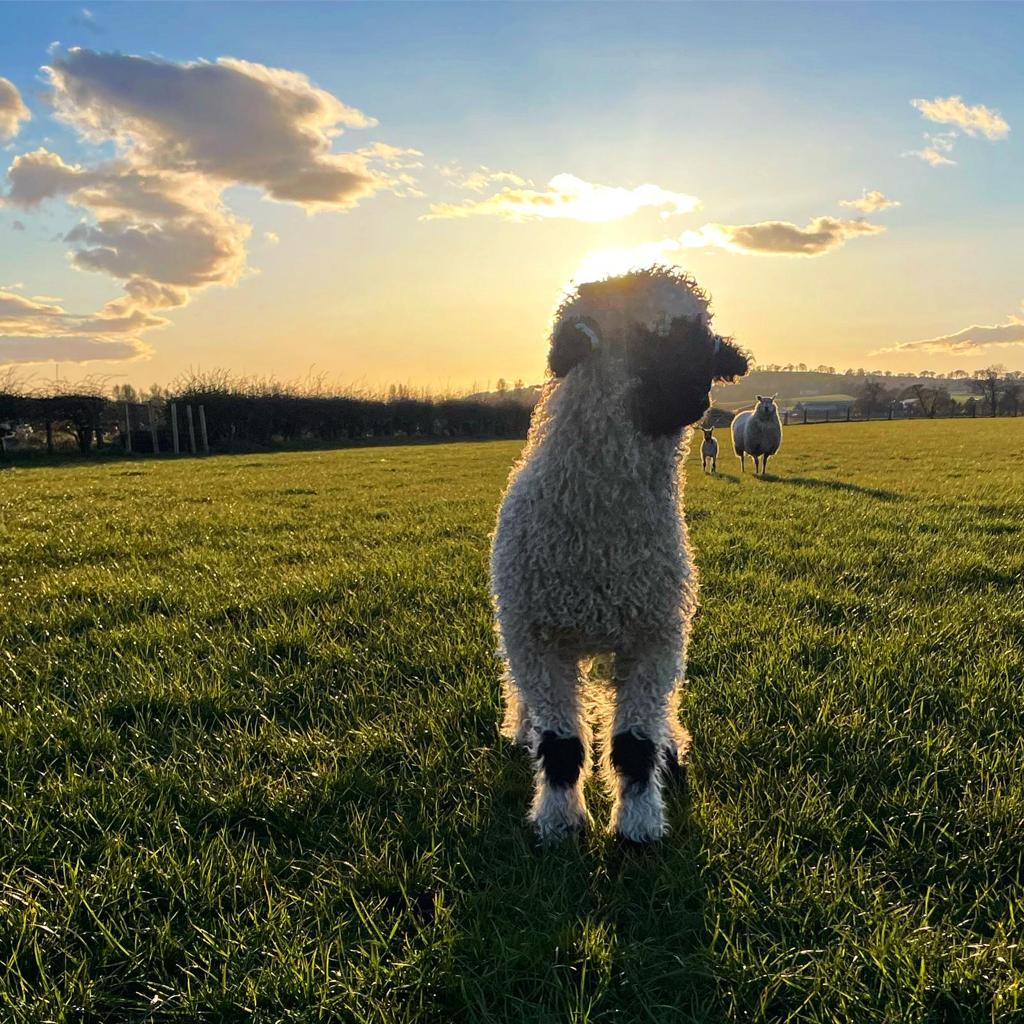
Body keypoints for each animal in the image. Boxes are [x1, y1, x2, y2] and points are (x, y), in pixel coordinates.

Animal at [490, 266, 749, 843]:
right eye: (653, 339)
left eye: (701, 335)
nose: (700, 399)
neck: (605, 542)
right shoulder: (539, 638)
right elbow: (561, 745)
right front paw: (559, 821)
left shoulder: (655, 637)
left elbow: (634, 745)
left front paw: (639, 825)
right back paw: (520, 729)